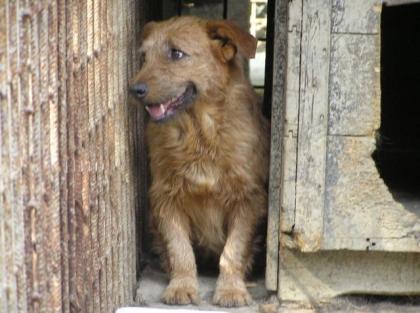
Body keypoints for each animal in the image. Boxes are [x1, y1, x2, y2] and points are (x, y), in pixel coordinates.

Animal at [129, 15, 270, 306]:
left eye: (176, 53)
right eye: (145, 57)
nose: (134, 89)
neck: (200, 135)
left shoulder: (248, 199)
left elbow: (233, 250)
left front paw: (230, 290)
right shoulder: (165, 198)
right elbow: (180, 249)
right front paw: (181, 286)